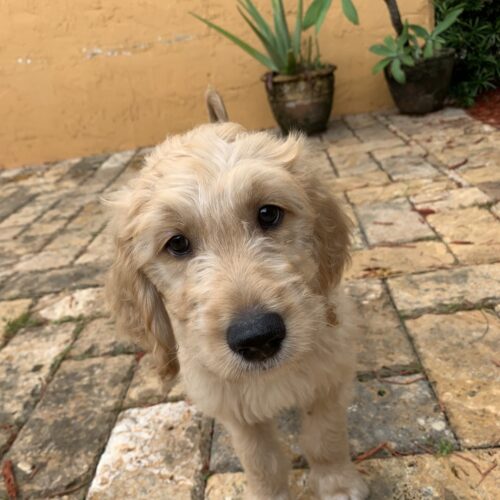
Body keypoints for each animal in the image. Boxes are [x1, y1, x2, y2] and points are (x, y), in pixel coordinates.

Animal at [106, 92, 368, 498]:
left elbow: (323, 438)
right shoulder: (233, 407)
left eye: (269, 214)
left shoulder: (329, 375)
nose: (257, 338)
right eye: (177, 243)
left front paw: (337, 484)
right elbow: (261, 461)